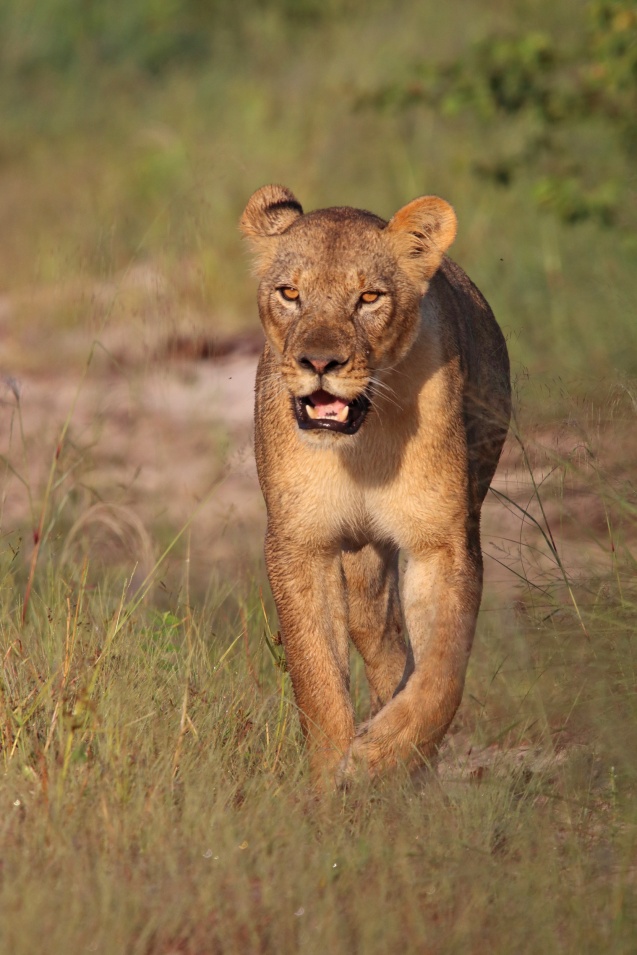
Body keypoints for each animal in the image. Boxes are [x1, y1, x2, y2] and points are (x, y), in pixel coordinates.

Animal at [240, 184, 511, 787]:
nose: (319, 362)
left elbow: (442, 673)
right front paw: (332, 779)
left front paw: (380, 754)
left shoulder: (443, 542)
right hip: (361, 561)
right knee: (379, 638)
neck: (361, 446)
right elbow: (316, 677)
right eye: (290, 293)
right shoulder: (301, 542)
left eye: (368, 298)